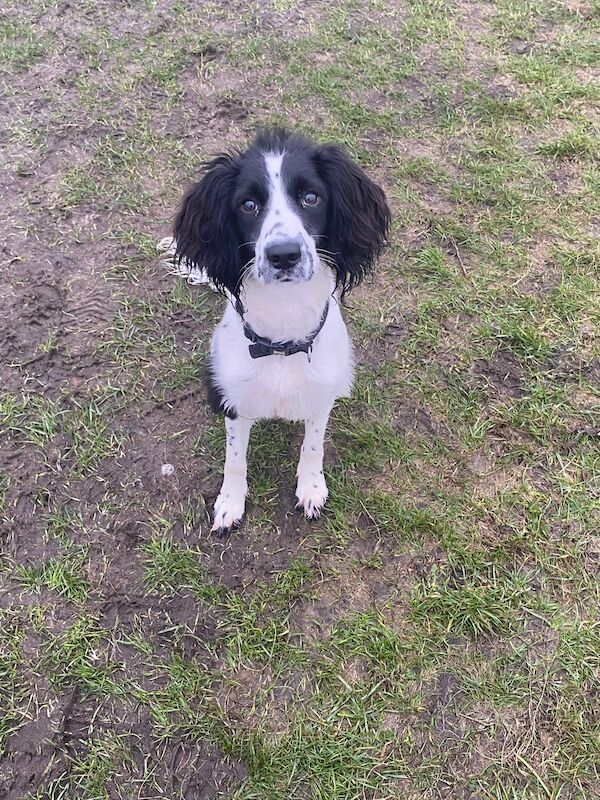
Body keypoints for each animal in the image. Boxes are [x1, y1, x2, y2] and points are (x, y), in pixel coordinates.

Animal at [173, 130, 390, 532]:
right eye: (248, 205)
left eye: (311, 198)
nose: (284, 255)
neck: (282, 340)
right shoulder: (234, 398)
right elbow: (235, 457)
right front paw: (230, 502)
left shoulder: (321, 395)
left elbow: (313, 444)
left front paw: (311, 487)